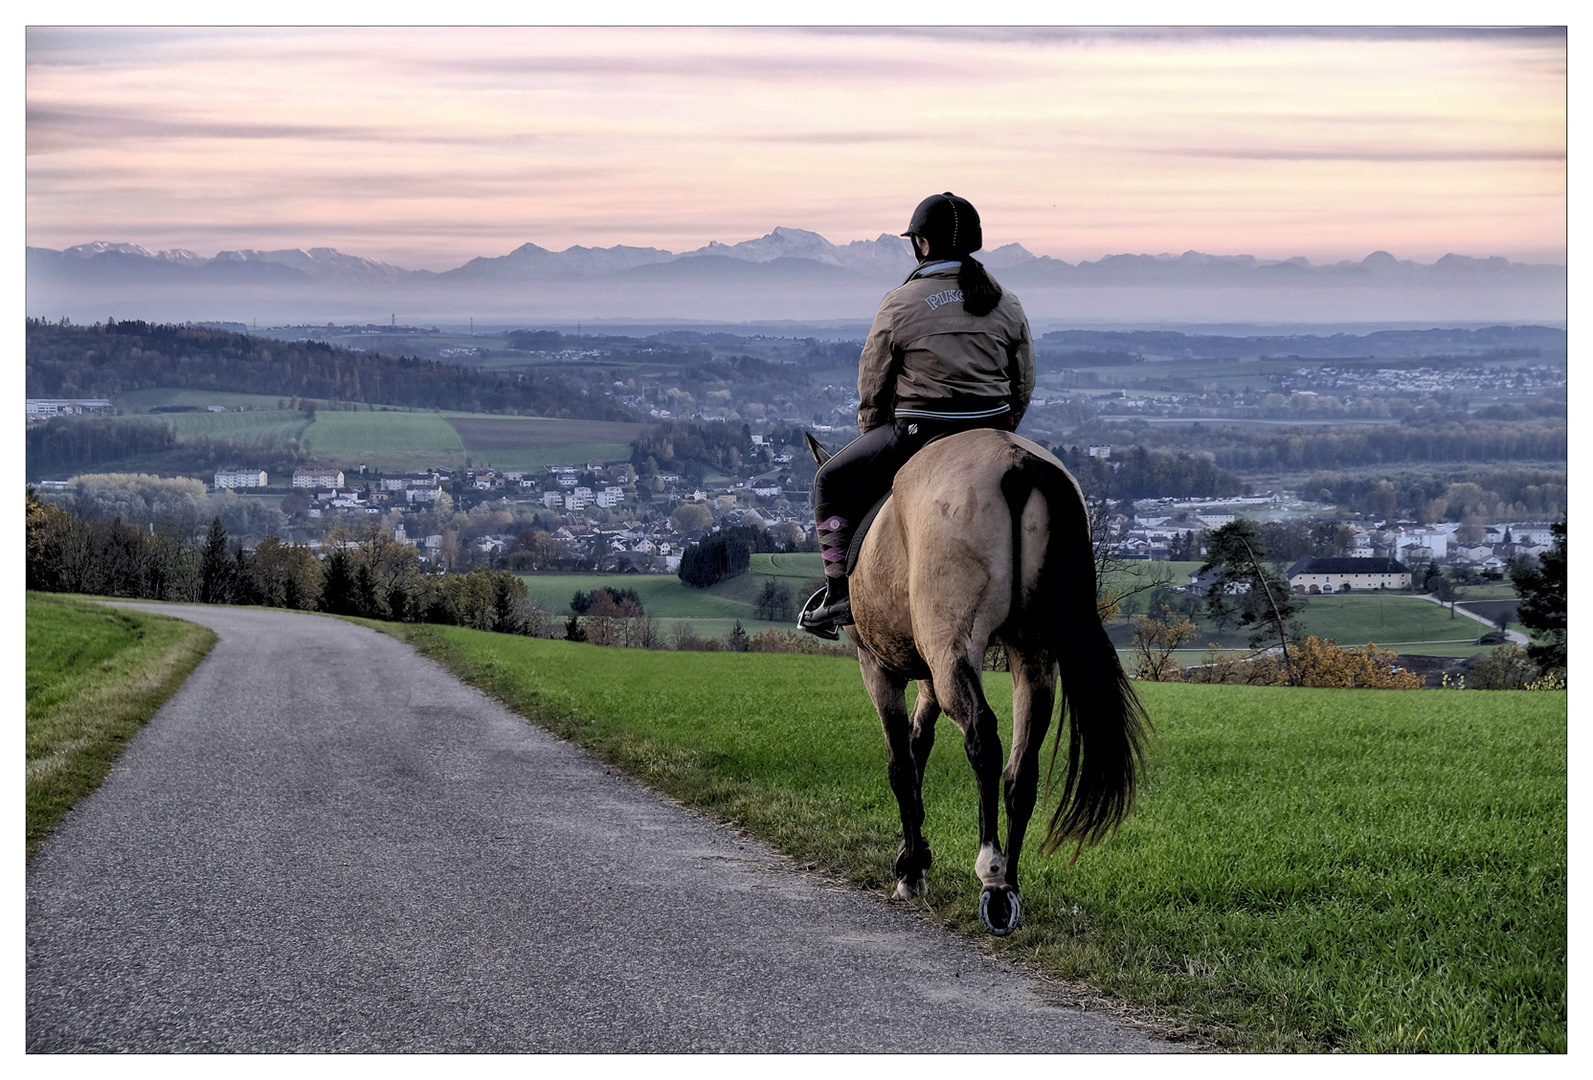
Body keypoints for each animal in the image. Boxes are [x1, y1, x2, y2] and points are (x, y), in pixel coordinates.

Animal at [809, 426, 1146, 936]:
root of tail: (1018, 462)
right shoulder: (929, 677)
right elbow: (919, 746)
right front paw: (914, 854)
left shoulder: (879, 667)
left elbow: (901, 764)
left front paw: (911, 871)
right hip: (1032, 654)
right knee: (1021, 768)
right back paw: (1012, 880)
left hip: (954, 645)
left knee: (983, 739)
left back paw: (992, 876)